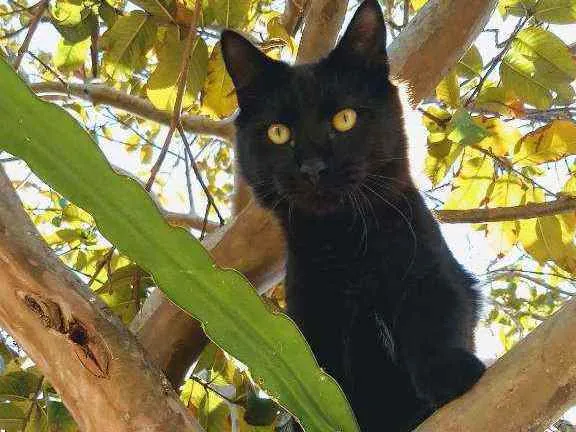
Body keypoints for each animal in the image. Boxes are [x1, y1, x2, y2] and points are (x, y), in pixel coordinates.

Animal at [221, 1, 486, 430]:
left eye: (344, 119)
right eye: (278, 132)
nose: (313, 167)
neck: (346, 243)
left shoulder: (434, 275)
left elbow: (437, 325)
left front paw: (450, 374)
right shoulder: (310, 321)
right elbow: (327, 383)